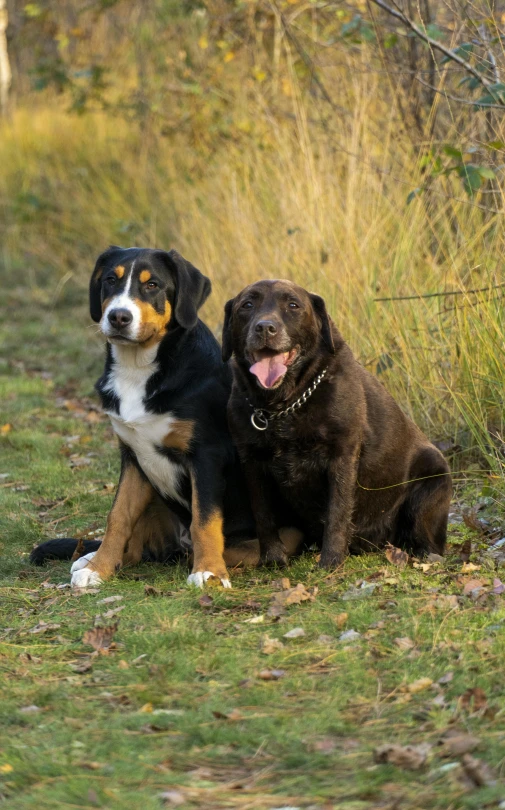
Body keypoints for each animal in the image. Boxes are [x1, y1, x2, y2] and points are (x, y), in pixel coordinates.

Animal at [222, 278, 450, 568]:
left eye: (293, 305)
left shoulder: (341, 457)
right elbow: (263, 515)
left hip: (433, 479)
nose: (265, 327)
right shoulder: (251, 461)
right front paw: (272, 558)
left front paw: (330, 561)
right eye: (247, 305)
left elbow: (337, 513)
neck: (285, 406)